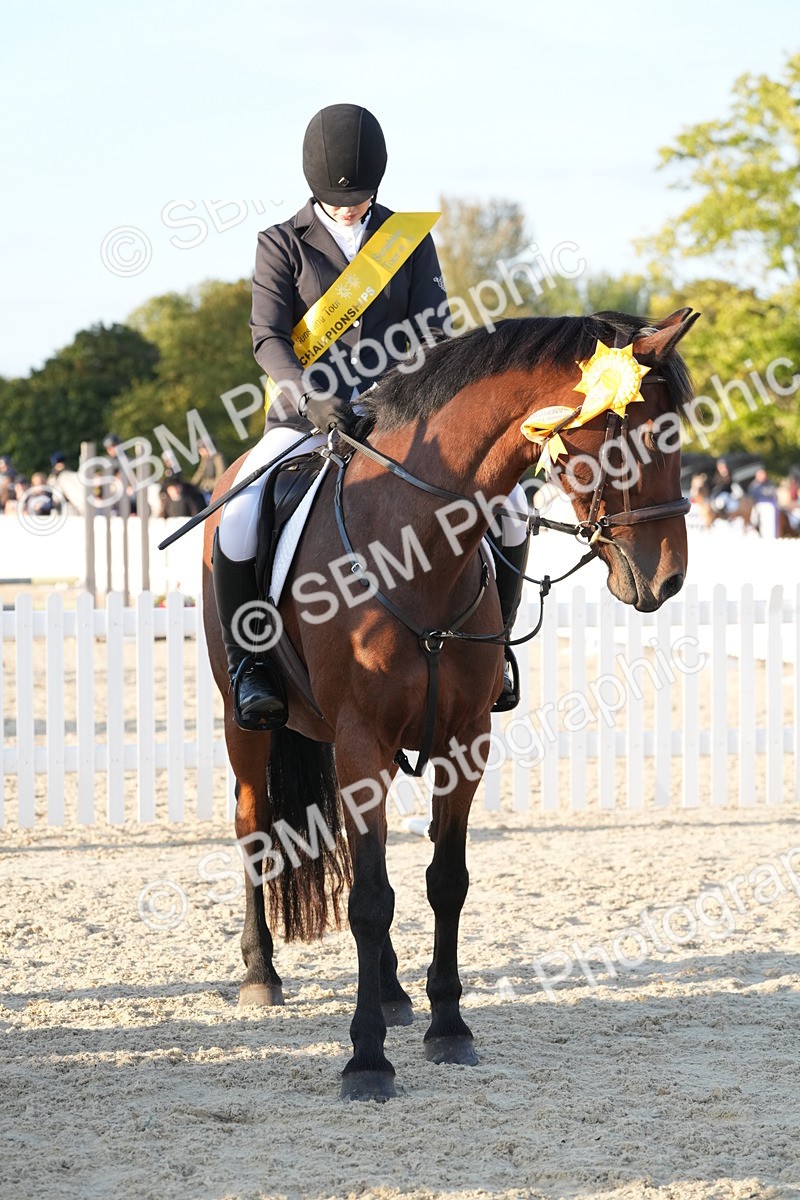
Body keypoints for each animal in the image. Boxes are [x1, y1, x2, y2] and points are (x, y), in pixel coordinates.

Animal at [202, 307, 697, 1102]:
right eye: (643, 435)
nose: (668, 578)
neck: (412, 542)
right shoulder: (363, 742)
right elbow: (371, 900)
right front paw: (366, 1058)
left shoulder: (463, 742)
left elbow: (444, 882)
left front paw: (448, 1027)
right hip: (242, 722)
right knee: (253, 827)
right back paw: (260, 973)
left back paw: (394, 993)